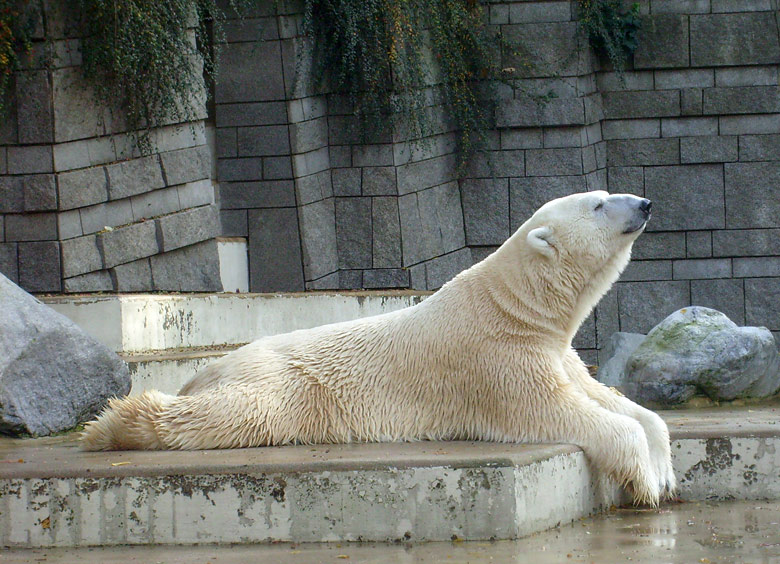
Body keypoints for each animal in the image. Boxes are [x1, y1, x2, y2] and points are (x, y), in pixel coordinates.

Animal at [82, 191, 672, 506]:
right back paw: (110, 426)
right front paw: (645, 483)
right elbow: (556, 410)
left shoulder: (553, 351)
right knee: (236, 414)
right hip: (285, 387)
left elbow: (615, 401)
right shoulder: (497, 359)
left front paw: (663, 466)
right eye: (599, 203)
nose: (645, 203)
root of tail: (206, 370)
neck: (514, 307)